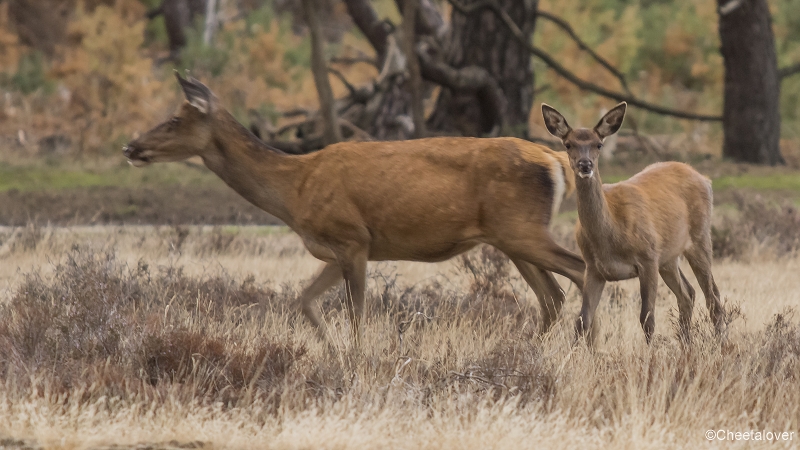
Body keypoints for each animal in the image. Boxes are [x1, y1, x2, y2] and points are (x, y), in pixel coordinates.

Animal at [126, 74, 588, 342]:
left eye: (174, 120)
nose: (131, 147)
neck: (295, 189)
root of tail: (556, 159)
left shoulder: (353, 238)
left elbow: (356, 314)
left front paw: (356, 359)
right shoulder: (334, 250)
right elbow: (304, 301)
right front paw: (331, 351)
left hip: (521, 230)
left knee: (581, 270)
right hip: (512, 237)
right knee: (553, 296)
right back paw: (527, 352)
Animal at [544, 101, 724, 342]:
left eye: (599, 144)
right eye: (568, 144)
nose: (585, 164)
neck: (611, 234)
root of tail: (705, 179)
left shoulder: (647, 258)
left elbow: (647, 318)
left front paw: (650, 352)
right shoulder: (593, 268)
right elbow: (582, 321)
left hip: (699, 237)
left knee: (713, 297)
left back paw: (720, 342)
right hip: (668, 257)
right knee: (688, 294)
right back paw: (686, 344)